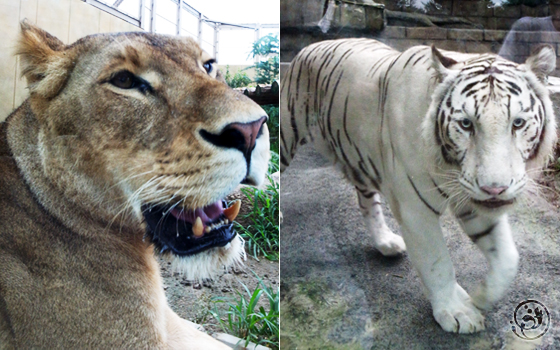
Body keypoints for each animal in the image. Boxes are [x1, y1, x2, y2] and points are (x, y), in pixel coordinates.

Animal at [282, 38, 556, 334]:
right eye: (466, 124)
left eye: (517, 123)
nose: (495, 189)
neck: (449, 166)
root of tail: (310, 46)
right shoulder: (416, 209)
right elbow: (438, 261)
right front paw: (456, 311)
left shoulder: (472, 199)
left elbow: (507, 259)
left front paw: (481, 297)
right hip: (287, 134)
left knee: (367, 201)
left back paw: (385, 242)